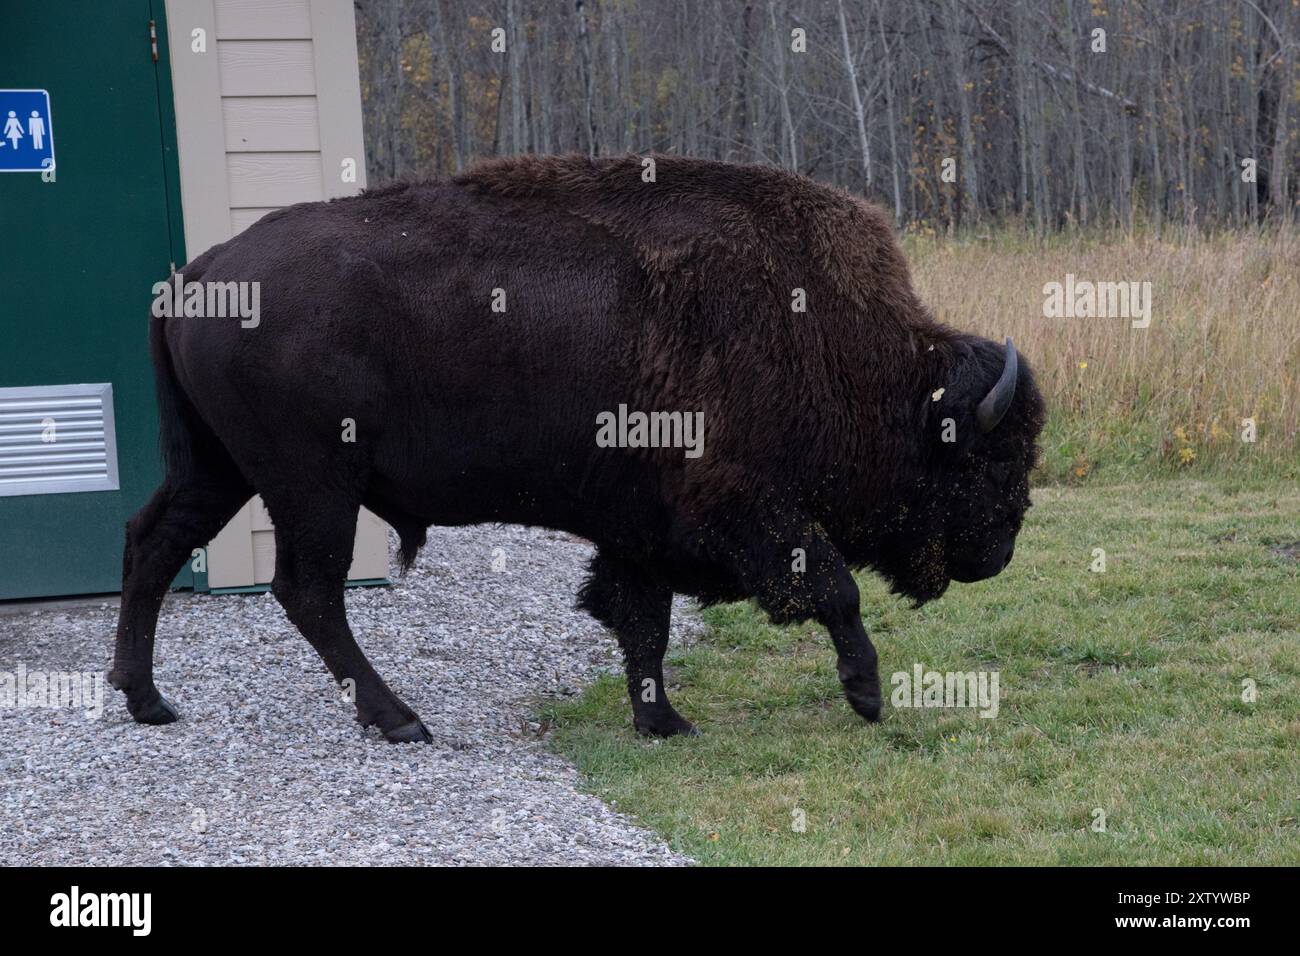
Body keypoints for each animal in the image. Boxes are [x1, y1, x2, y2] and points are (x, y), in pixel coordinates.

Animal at [109, 155, 1045, 738]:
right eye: (990, 458)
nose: (1000, 552)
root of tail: (198, 275)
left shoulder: (644, 528)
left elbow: (642, 622)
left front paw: (663, 721)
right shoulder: (748, 507)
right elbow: (833, 588)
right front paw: (867, 695)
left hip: (219, 469)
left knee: (154, 543)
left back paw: (148, 701)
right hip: (312, 485)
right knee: (308, 591)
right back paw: (401, 720)